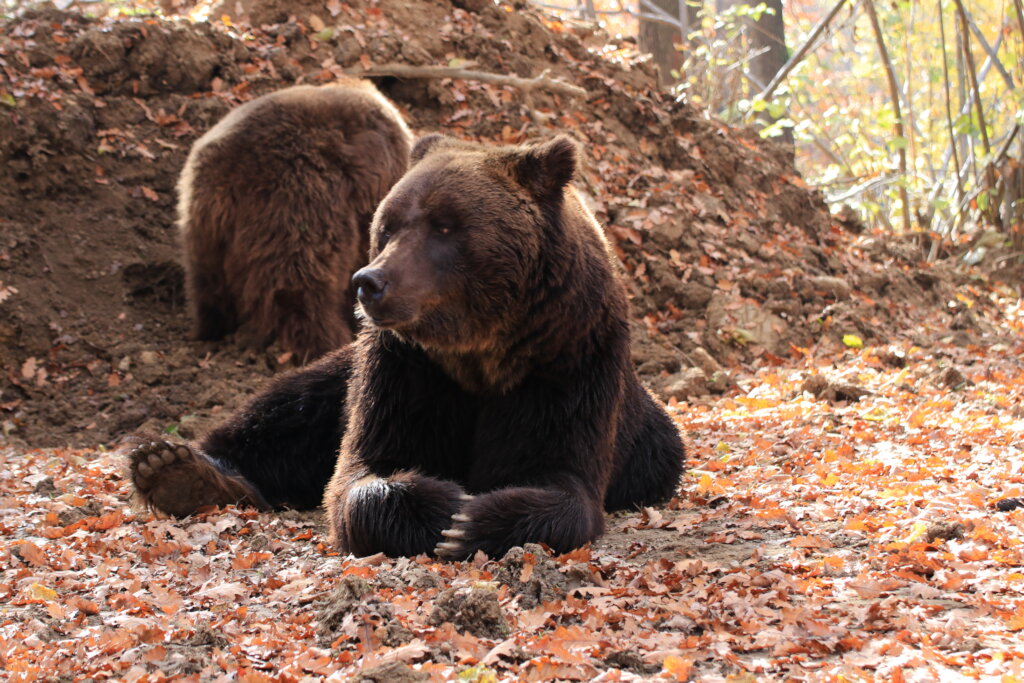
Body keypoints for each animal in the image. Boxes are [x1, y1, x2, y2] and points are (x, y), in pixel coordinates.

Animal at [127, 134, 686, 560]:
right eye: (389, 224)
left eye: (445, 225)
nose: (369, 282)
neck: (482, 350)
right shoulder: (406, 367)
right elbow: (366, 467)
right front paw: (442, 510)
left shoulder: (566, 357)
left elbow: (561, 477)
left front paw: (471, 519)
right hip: (339, 375)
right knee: (285, 411)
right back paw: (175, 468)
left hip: (650, 443)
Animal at [179, 79, 412, 362]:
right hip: (298, 199)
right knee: (301, 286)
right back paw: (323, 342)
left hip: (204, 222)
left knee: (205, 281)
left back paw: (209, 329)